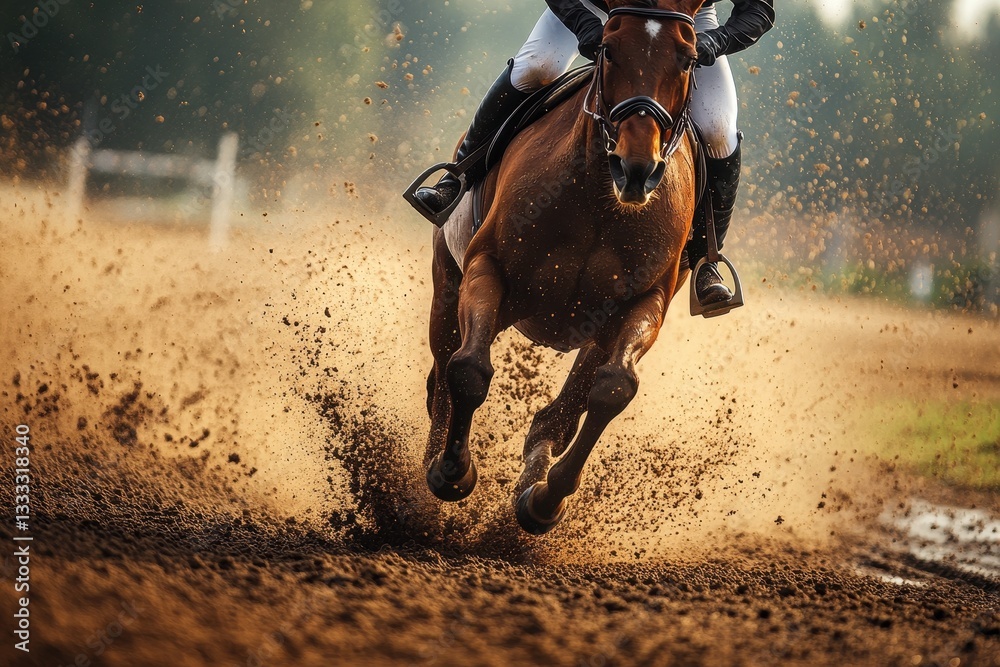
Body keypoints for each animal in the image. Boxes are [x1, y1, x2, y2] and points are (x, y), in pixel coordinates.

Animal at [422, 0, 705, 535]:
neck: (599, 200)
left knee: (560, 412)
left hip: (593, 331)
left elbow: (613, 389)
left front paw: (545, 499)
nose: (637, 168)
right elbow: (468, 369)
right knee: (442, 374)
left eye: (688, 59)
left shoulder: (644, 304)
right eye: (609, 48)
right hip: (449, 281)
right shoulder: (487, 267)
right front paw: (453, 472)